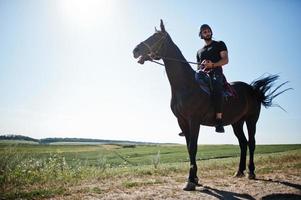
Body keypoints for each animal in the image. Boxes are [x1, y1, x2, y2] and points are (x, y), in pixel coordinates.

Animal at [132, 19, 290, 191]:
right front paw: (195, 178)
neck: (186, 85)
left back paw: (251, 172)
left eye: (155, 37)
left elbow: (193, 147)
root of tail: (253, 90)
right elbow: (188, 147)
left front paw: (190, 180)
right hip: (237, 123)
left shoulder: (194, 120)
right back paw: (239, 171)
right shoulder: (182, 121)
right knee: (243, 143)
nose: (135, 50)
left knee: (252, 143)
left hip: (251, 120)